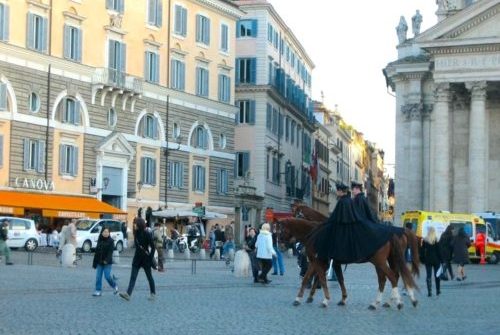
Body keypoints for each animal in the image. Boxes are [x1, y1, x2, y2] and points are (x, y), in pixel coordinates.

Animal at [280, 218, 420, 310]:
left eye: (280, 231)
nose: (281, 246)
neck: (315, 235)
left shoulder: (319, 262)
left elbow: (321, 279)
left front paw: (325, 300)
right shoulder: (324, 263)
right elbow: (316, 278)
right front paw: (300, 298)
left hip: (380, 262)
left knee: (391, 277)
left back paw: (396, 302)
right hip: (386, 261)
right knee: (388, 278)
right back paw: (383, 302)